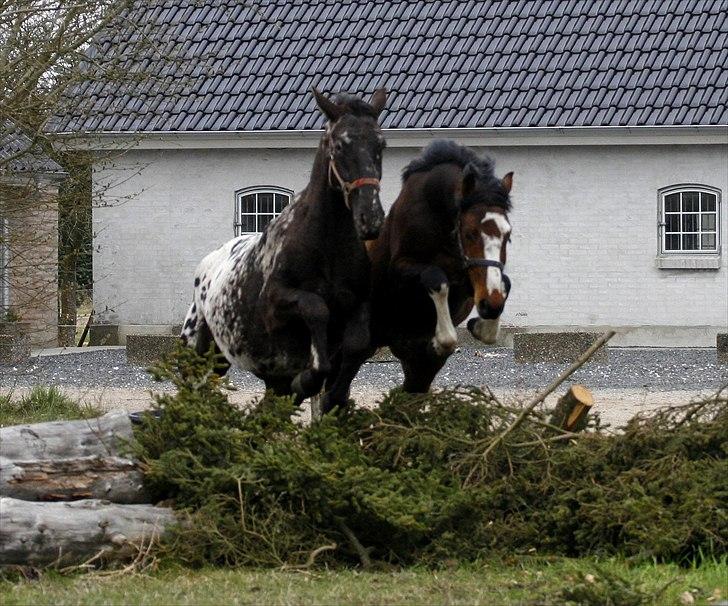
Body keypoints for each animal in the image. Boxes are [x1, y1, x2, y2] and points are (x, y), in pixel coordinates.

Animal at [180, 89, 390, 414]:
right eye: (339, 145)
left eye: (381, 144)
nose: (371, 218)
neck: (326, 248)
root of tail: (207, 266)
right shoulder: (275, 303)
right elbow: (316, 309)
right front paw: (306, 379)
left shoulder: (358, 307)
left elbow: (356, 347)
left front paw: (334, 395)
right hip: (203, 351)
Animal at [366, 139, 516, 394]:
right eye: (470, 233)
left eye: (508, 236)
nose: (490, 305)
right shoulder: (401, 268)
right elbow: (436, 278)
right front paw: (441, 339)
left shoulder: (469, 278)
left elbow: (504, 282)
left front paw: (479, 326)